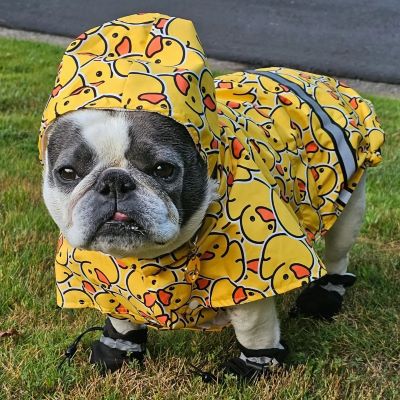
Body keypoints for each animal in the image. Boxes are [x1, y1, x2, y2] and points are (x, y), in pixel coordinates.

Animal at [40, 12, 384, 380]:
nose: (114, 182)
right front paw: (116, 353)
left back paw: (324, 297)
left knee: (338, 253)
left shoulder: (251, 274)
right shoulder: (108, 279)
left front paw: (250, 369)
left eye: (163, 169)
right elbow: (121, 316)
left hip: (348, 205)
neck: (150, 260)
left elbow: (254, 329)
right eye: (67, 173)